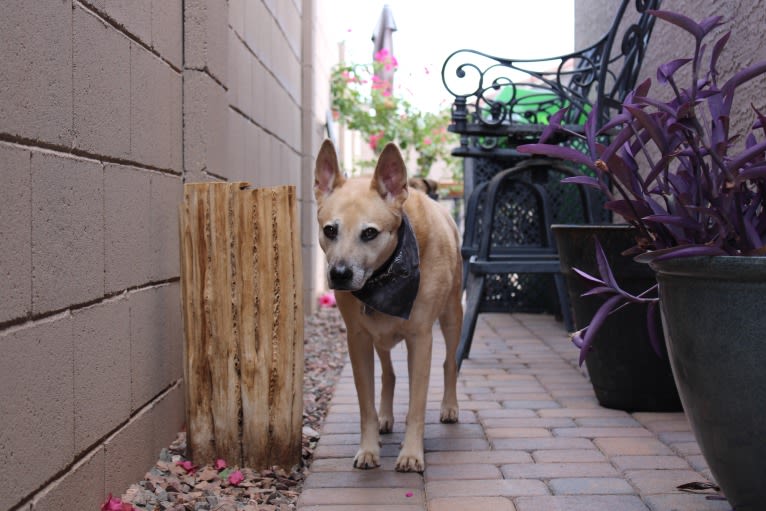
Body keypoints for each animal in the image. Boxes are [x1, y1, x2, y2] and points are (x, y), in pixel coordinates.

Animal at [314, 139, 462, 472]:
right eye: (330, 230)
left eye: (370, 232)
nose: (339, 274)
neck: (385, 277)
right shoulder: (357, 340)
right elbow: (365, 406)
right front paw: (369, 449)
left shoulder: (421, 339)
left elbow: (417, 406)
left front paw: (411, 453)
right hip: (378, 337)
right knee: (389, 374)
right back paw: (386, 416)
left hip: (452, 317)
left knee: (449, 363)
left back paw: (449, 407)